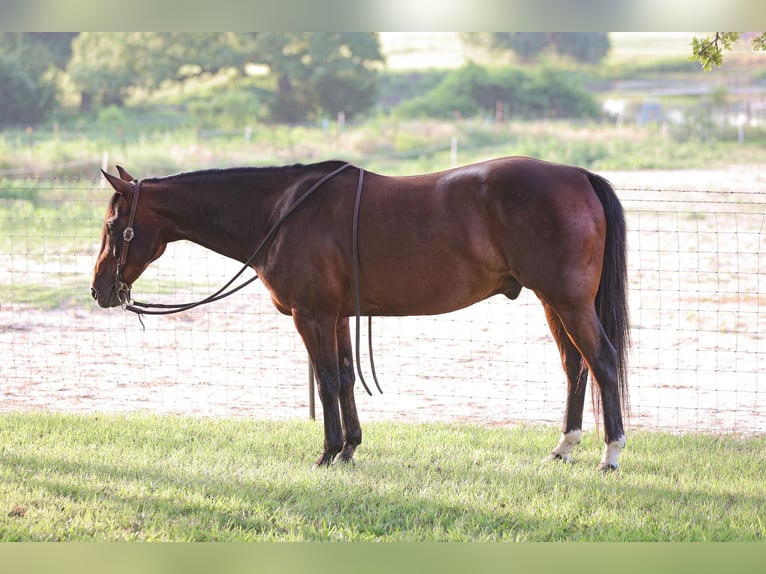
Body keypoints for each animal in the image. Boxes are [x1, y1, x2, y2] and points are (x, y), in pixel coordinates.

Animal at [91, 159, 632, 472]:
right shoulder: (336, 317)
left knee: (602, 363)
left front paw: (329, 452)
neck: (283, 211)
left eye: (115, 226)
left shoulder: (310, 316)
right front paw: (351, 447)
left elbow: (328, 379)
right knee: (575, 366)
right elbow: (348, 377)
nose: (99, 290)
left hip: (568, 303)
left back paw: (610, 454)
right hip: (552, 302)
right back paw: (564, 447)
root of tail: (579, 176)